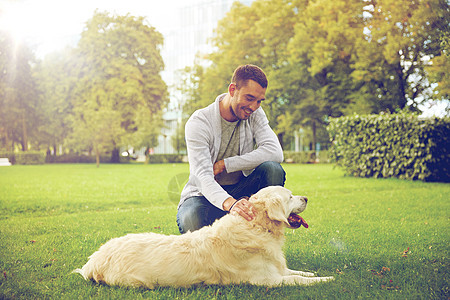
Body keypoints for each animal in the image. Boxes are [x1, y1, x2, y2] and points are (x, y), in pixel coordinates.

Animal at [74, 185, 334, 288]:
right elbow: (297, 279)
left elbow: (295, 271)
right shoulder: (266, 280)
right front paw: (327, 278)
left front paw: (313, 273)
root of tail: (94, 260)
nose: (306, 198)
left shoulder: (276, 269)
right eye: (290, 197)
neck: (256, 228)